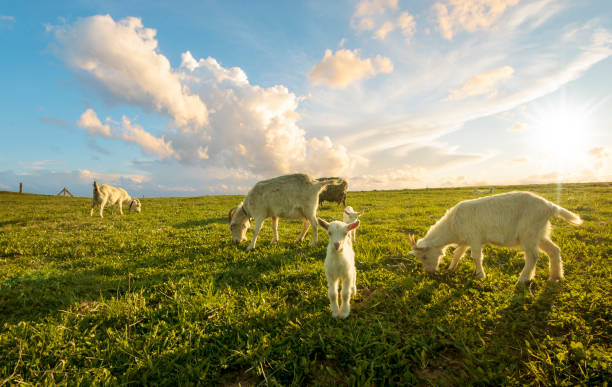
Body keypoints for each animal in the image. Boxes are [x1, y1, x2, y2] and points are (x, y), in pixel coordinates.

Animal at [408, 192, 580, 284]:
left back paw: (522, 279)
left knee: (532, 256)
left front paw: (480, 275)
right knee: (554, 250)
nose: (429, 272)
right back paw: (555, 277)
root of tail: (550, 206)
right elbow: (458, 253)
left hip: (529, 232)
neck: (452, 225)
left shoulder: (475, 238)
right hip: (540, 233)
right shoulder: (466, 240)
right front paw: (451, 268)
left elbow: (476, 257)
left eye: (424, 256)